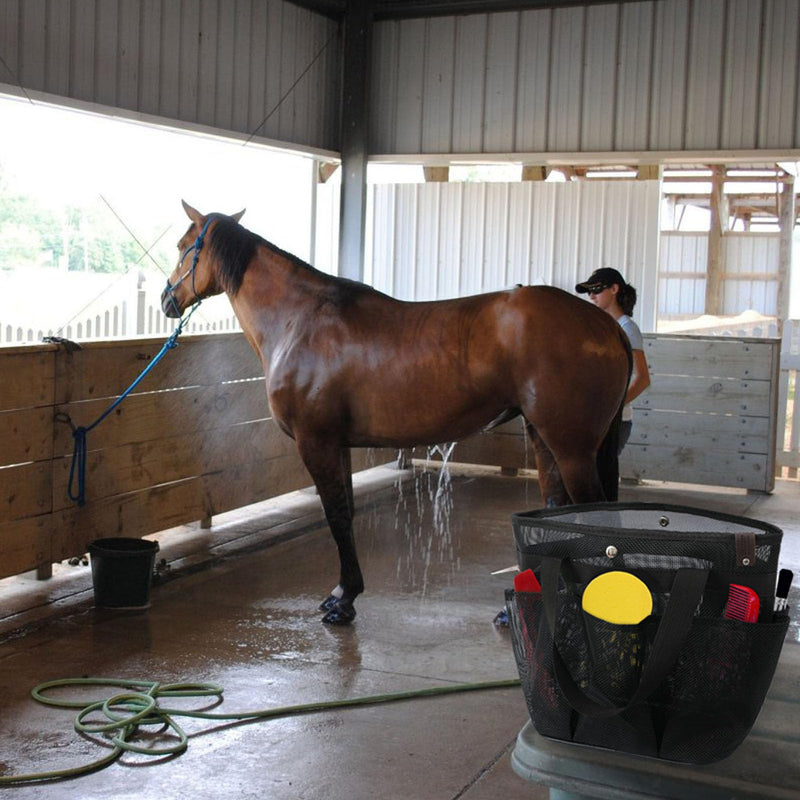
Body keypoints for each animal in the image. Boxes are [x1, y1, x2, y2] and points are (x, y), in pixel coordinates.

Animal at [162, 201, 632, 625]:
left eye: (184, 246)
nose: (168, 298)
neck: (300, 320)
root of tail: (606, 326)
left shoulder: (316, 441)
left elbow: (335, 515)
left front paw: (342, 601)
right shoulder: (338, 444)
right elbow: (346, 511)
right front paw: (346, 593)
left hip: (571, 446)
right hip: (544, 437)